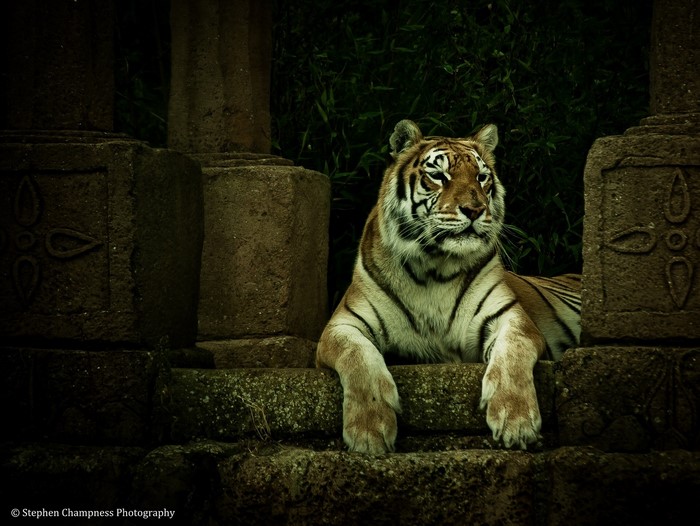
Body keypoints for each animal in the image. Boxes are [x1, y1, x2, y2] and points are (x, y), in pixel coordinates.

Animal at [316, 119, 581, 454]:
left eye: (481, 177)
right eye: (439, 176)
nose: (474, 209)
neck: (434, 267)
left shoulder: (511, 317)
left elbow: (513, 353)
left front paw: (516, 421)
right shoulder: (341, 325)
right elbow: (358, 357)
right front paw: (368, 431)